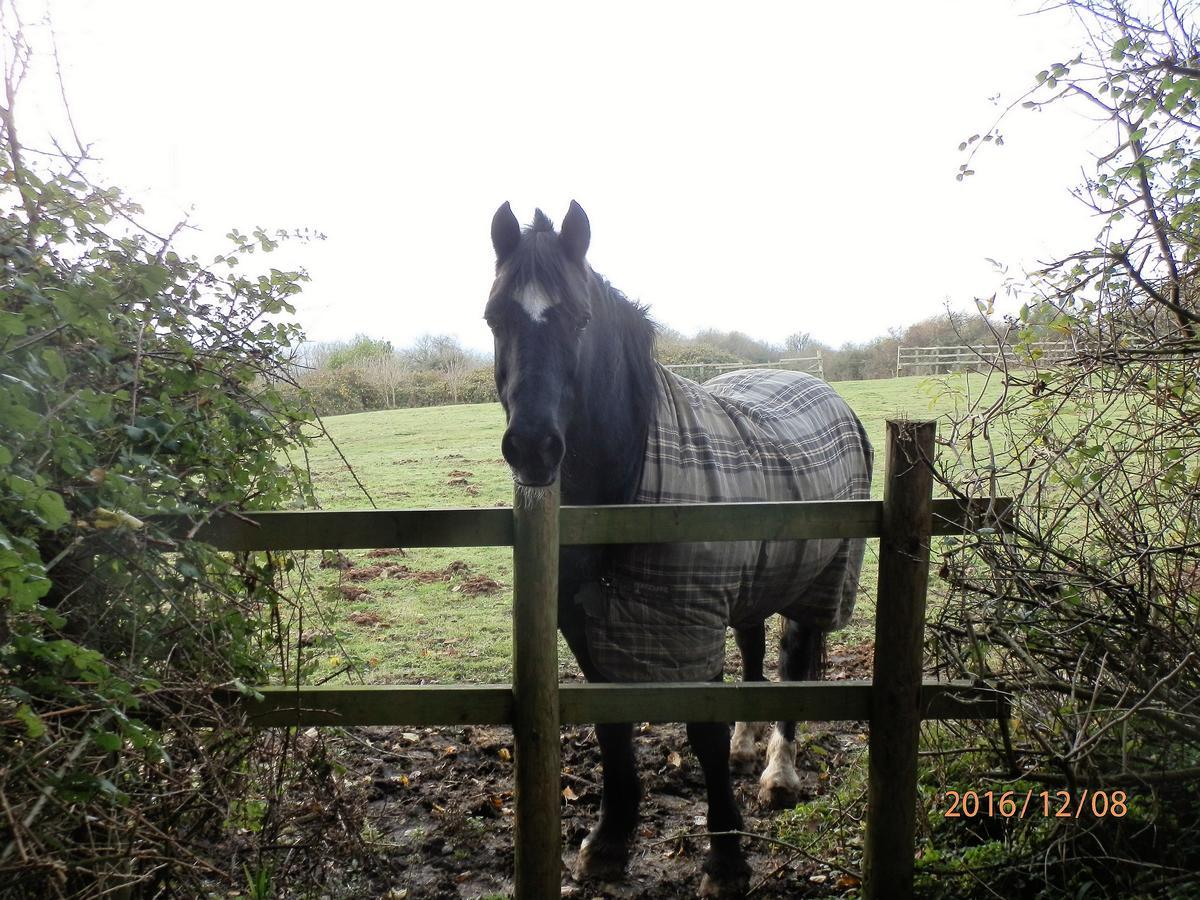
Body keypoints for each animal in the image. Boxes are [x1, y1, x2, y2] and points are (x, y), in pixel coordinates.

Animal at [484, 200, 873, 897]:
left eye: (580, 319)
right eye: (495, 317)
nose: (532, 448)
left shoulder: (690, 619)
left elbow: (703, 730)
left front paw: (725, 860)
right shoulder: (588, 625)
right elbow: (611, 726)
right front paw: (607, 844)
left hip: (816, 582)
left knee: (794, 663)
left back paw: (779, 775)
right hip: (751, 584)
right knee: (755, 651)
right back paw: (751, 748)